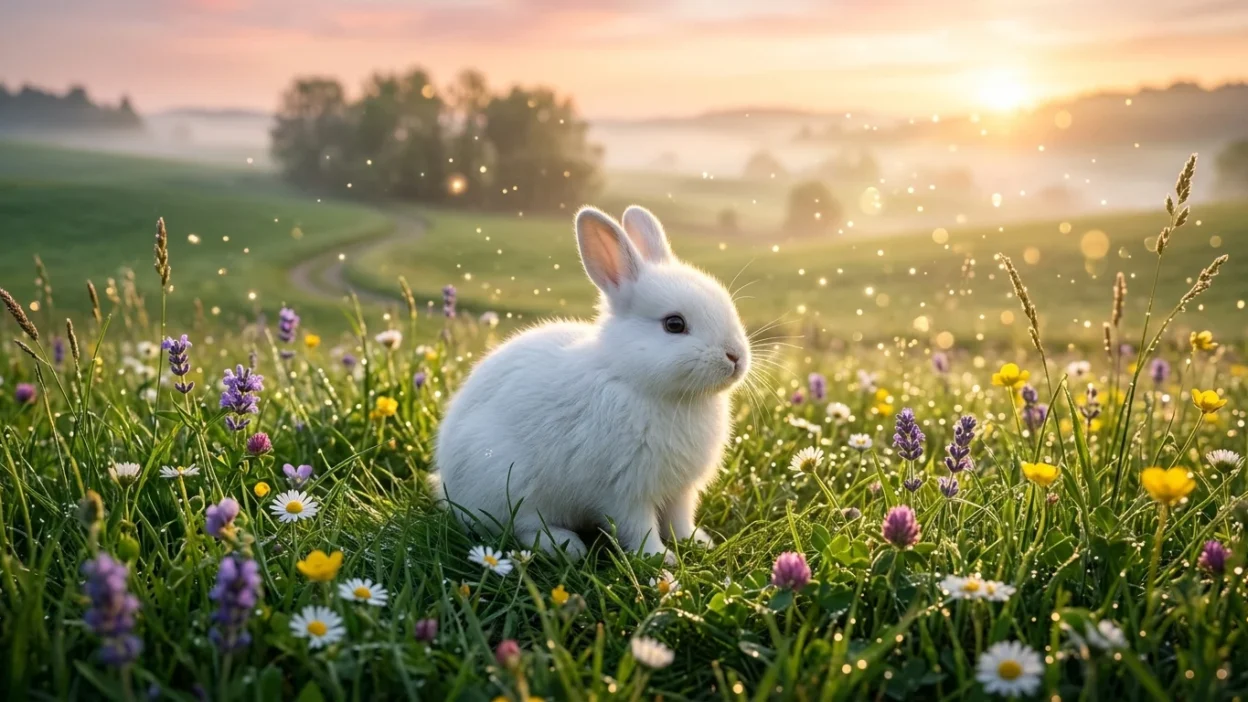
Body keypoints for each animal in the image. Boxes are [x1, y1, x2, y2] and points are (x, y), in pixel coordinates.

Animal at [431, 205, 750, 560]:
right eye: (674, 324)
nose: (735, 357)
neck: (634, 380)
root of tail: (447, 484)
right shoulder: (624, 491)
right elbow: (640, 527)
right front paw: (658, 557)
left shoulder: (681, 490)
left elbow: (679, 520)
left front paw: (698, 542)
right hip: (505, 484)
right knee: (519, 528)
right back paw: (566, 545)